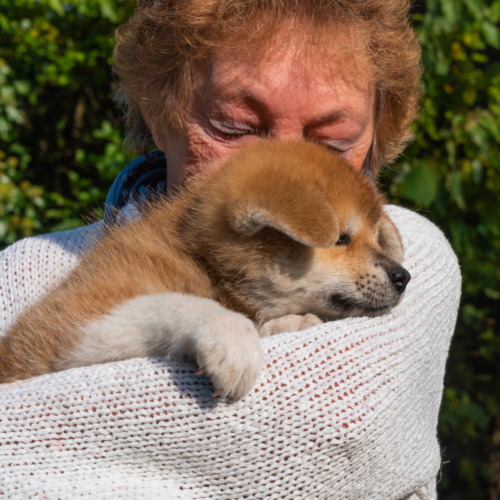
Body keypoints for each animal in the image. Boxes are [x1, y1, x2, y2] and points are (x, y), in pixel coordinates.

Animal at [0, 140, 410, 398]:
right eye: (341, 238)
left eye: (375, 237)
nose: (403, 277)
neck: (203, 262)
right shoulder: (69, 327)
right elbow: (175, 302)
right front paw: (233, 334)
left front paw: (290, 323)